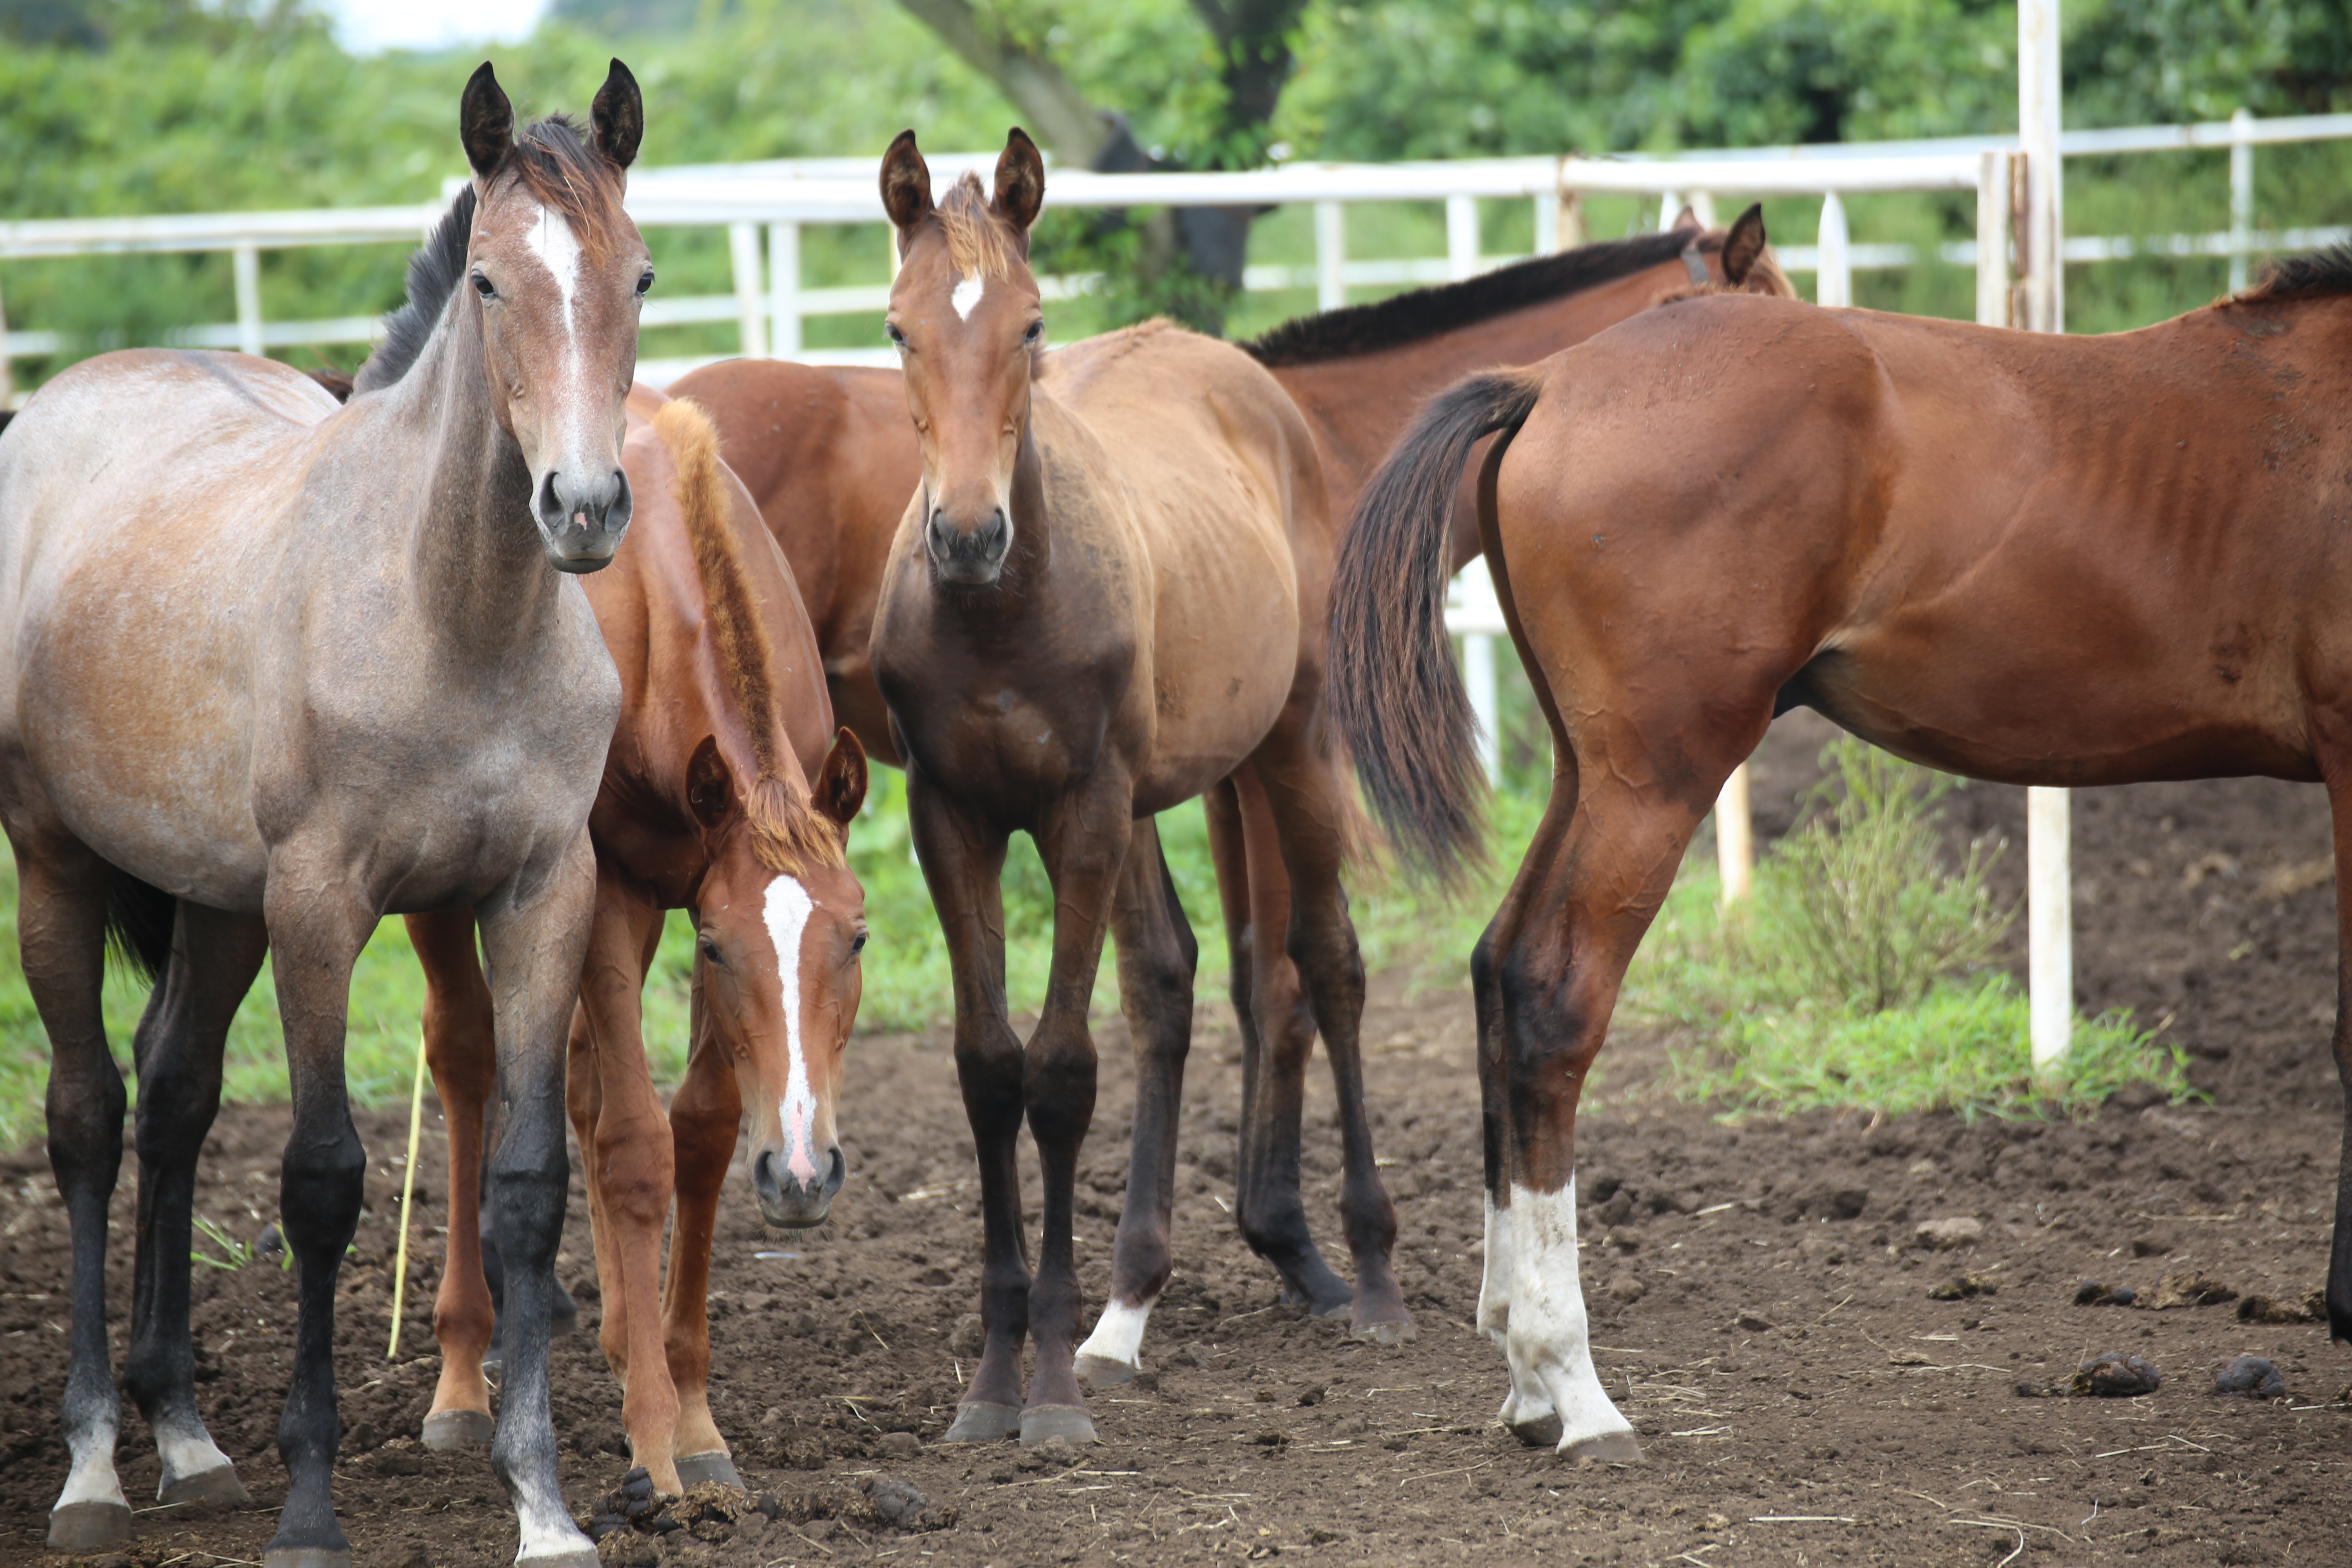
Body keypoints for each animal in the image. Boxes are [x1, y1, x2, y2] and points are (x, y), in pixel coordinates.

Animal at [0, 61, 654, 1568]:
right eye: (488, 282)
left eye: (640, 278)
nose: (584, 506)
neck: (448, 616)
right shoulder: (322, 908)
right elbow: (321, 1181)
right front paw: (311, 1506)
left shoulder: (541, 896)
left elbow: (527, 1186)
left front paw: (542, 1504)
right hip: (57, 867)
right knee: (87, 1117)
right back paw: (94, 1466)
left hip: (215, 905)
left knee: (175, 1099)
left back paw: (186, 1436)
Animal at [409, 383, 870, 1495]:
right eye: (718, 951)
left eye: (859, 940)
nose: (805, 1174)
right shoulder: (614, 894)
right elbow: (631, 1145)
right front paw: (657, 1441)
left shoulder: (692, 888)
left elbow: (699, 1132)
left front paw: (693, 1416)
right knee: (468, 1058)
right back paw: (463, 1380)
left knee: (575, 1080)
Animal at [673, 200, 1787, 1382]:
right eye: (1775, 315)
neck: (1326, 438)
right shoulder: (1276, 753)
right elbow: (1275, 973)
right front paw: (1272, 1257)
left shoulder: (1215, 772)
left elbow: (1245, 979)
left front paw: (1276, 1241)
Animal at [1326, 245, 2352, 1457]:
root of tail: (1551, 380)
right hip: (1652, 785)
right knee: (1549, 991)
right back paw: (1569, 1386)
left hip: (1591, 775)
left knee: (1496, 964)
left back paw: (1525, 1374)